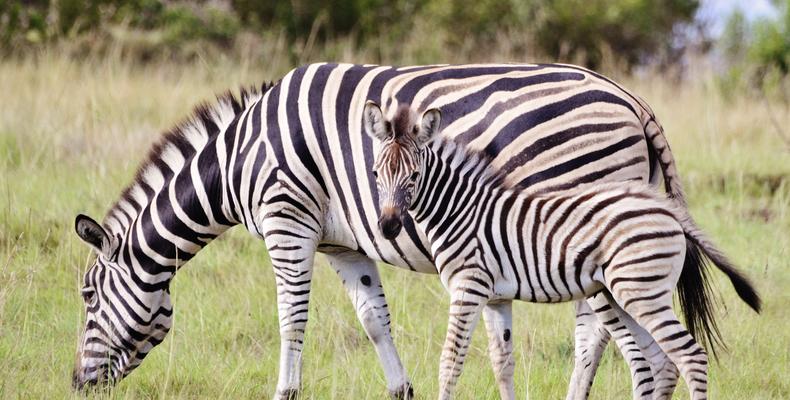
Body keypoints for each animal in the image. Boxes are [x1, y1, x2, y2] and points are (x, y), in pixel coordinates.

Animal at [76, 61, 688, 396]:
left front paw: (285, 391)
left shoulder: (288, 220)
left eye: (87, 296)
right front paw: (401, 390)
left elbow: (291, 317)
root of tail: (630, 97)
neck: (238, 161)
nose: (77, 386)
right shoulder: (341, 243)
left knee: (597, 331)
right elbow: (374, 320)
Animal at [368, 102, 764, 400]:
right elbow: (502, 363)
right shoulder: (496, 297)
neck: (461, 209)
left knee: (690, 356)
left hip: (641, 293)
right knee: (662, 361)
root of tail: (665, 207)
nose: (387, 227)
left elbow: (450, 362)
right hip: (628, 294)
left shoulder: (469, 287)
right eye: (374, 174)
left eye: (414, 177)